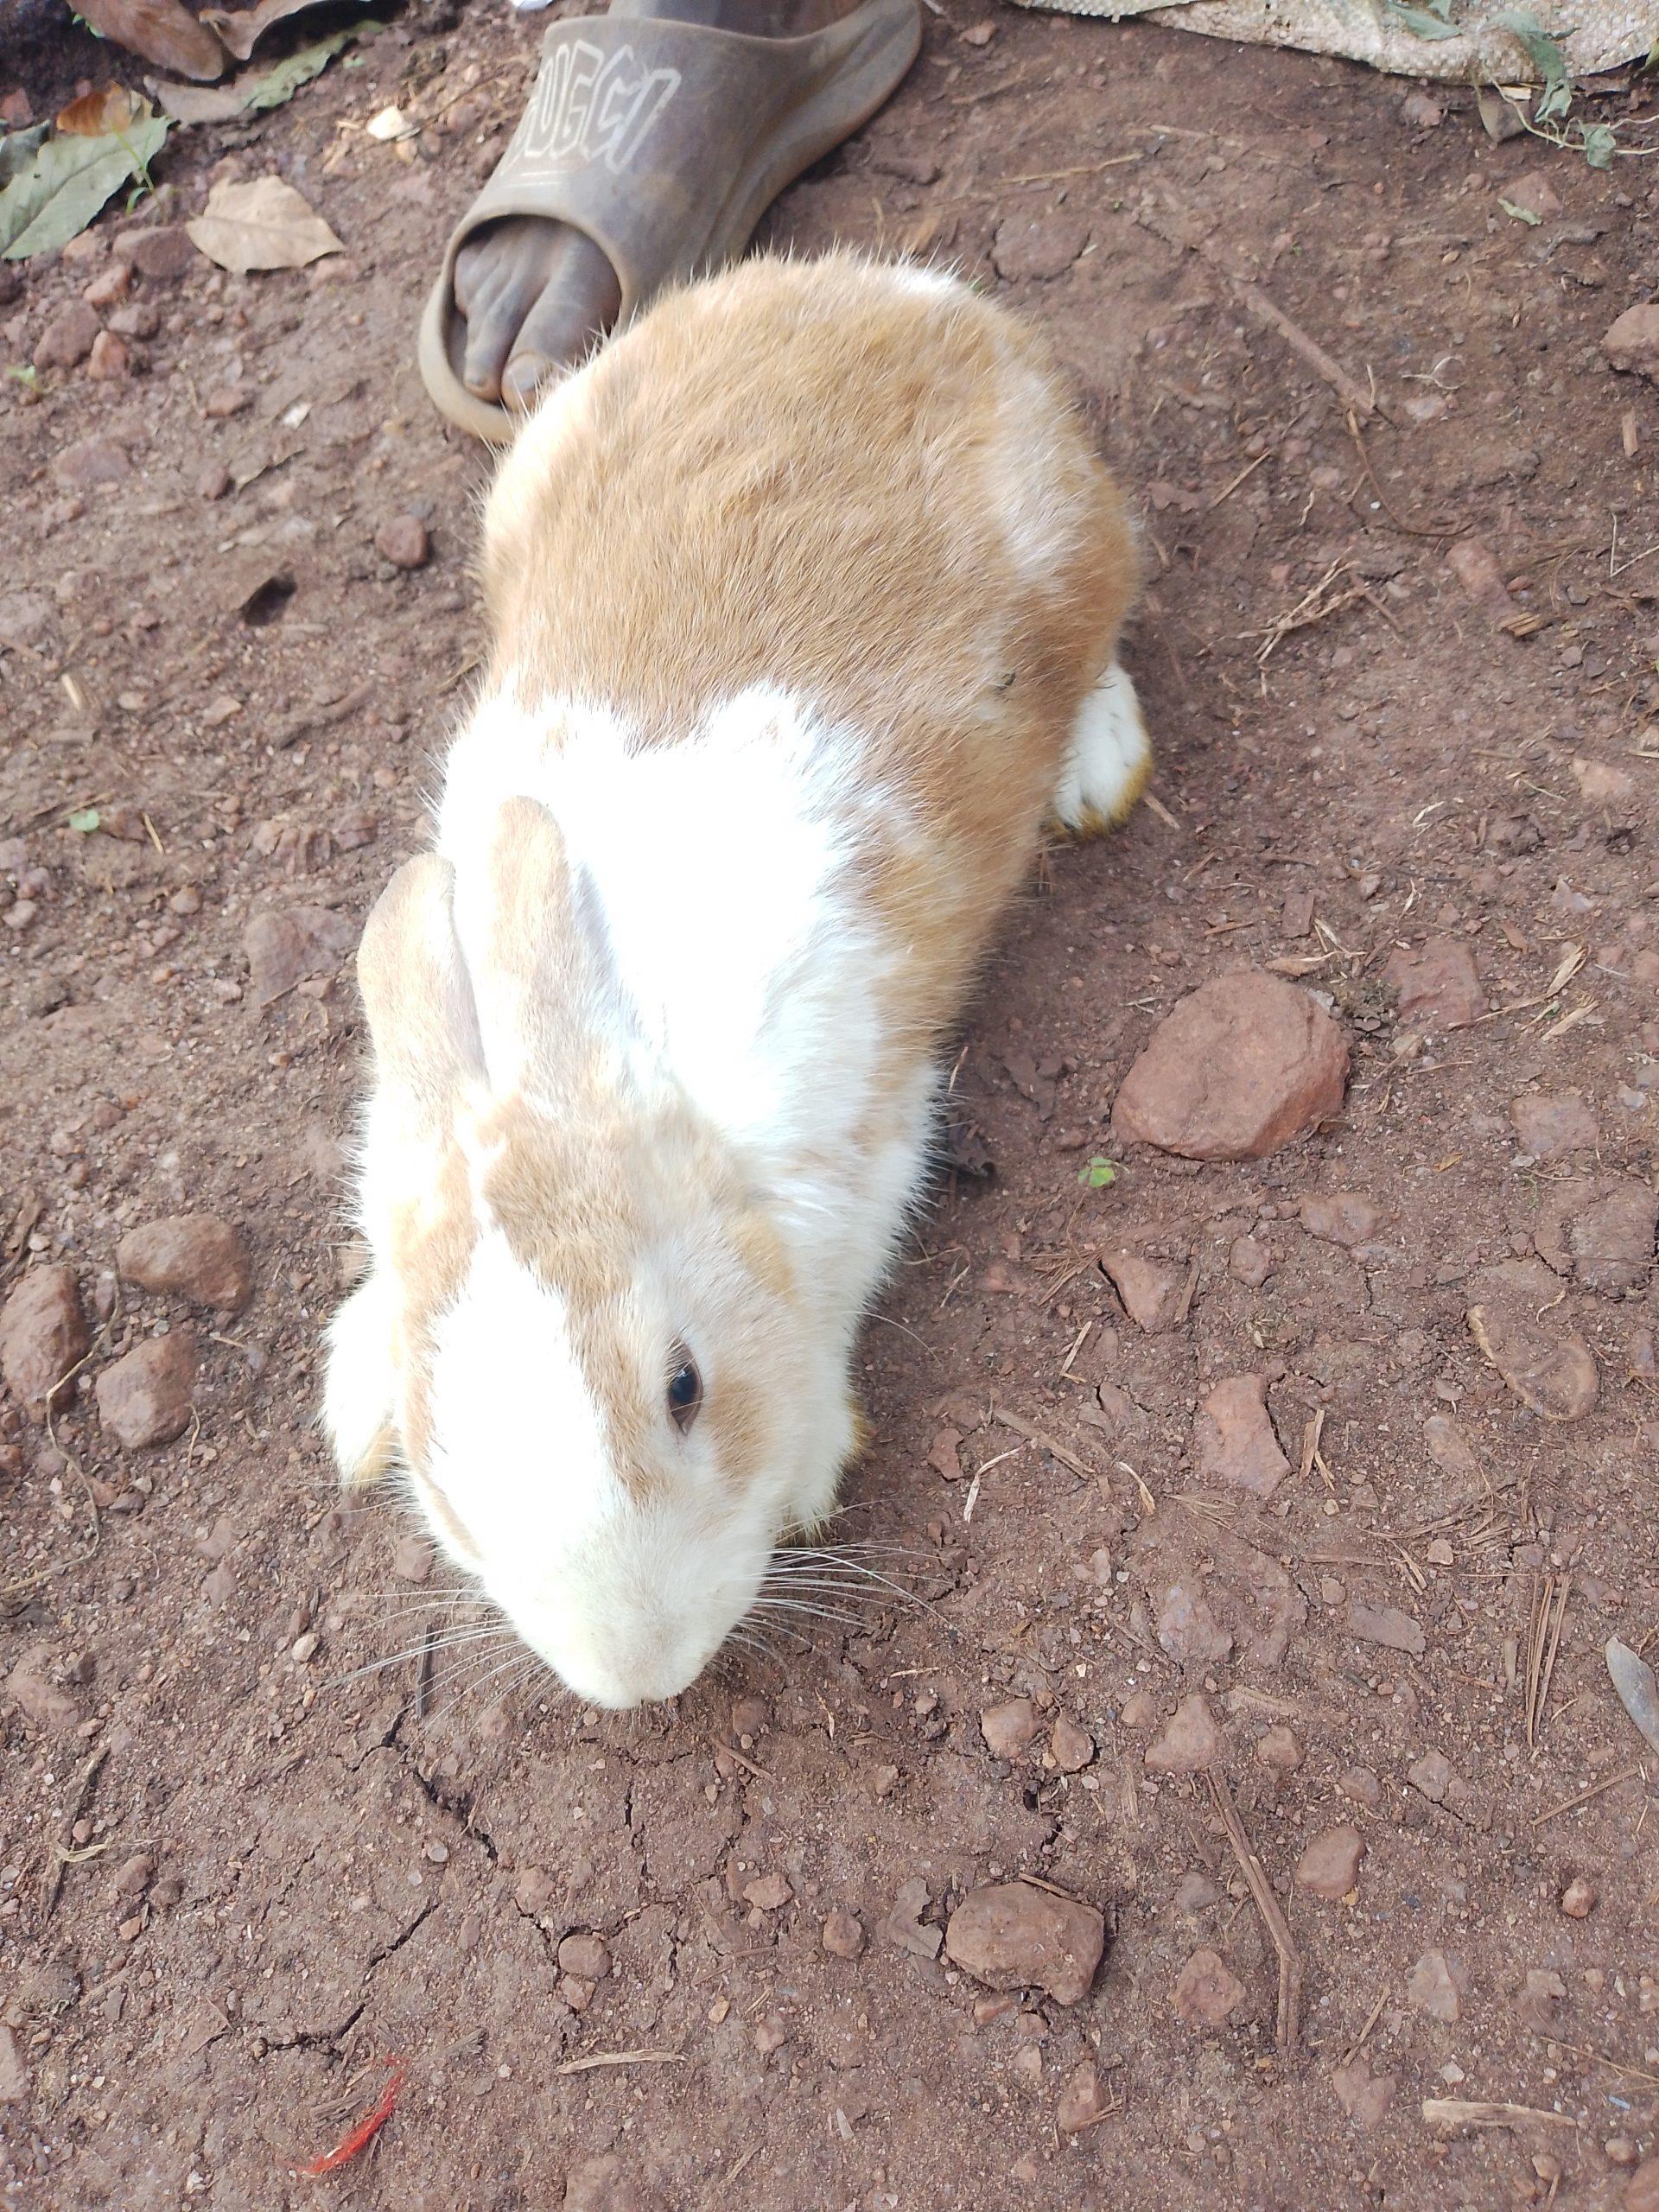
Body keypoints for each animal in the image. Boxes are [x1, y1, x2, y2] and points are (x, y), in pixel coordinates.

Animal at [323, 249, 1149, 1710]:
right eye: (443, 1452)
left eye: (685, 1387)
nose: (640, 1672)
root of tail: (906, 296)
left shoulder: (869, 1131)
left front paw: (813, 1456)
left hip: (1075, 553)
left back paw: (1098, 766)